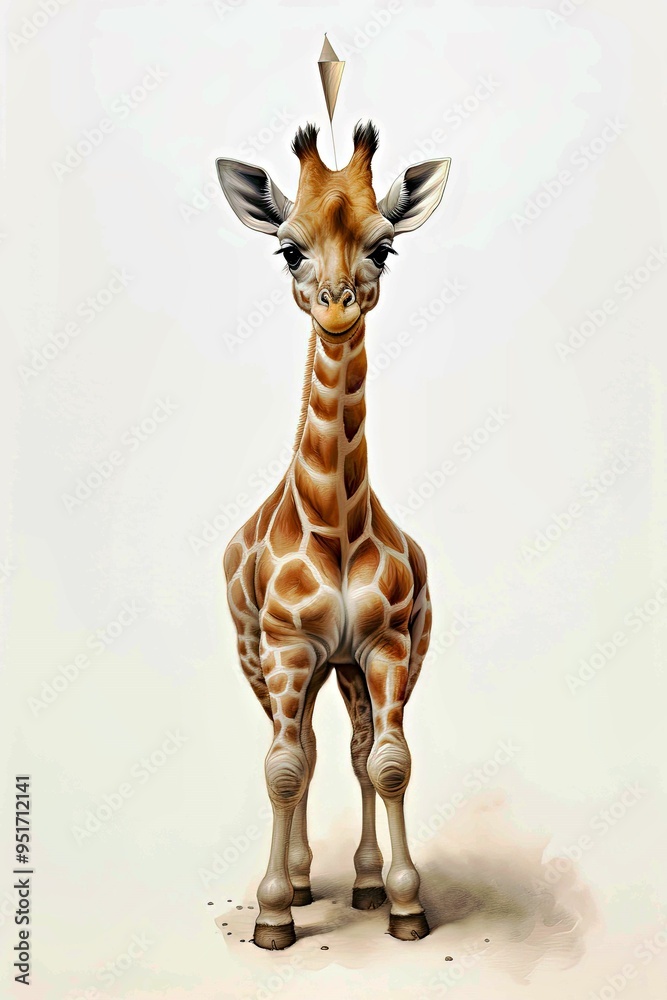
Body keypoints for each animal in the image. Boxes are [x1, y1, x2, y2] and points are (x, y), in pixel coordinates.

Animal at [216, 121, 450, 950]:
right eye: (289, 248)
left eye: (384, 247)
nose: (338, 306)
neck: (336, 526)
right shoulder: (286, 651)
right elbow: (284, 768)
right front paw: (273, 913)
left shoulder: (384, 648)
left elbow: (387, 762)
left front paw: (404, 904)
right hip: (261, 659)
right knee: (305, 753)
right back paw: (297, 881)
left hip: (352, 663)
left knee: (346, 752)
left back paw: (362, 883)